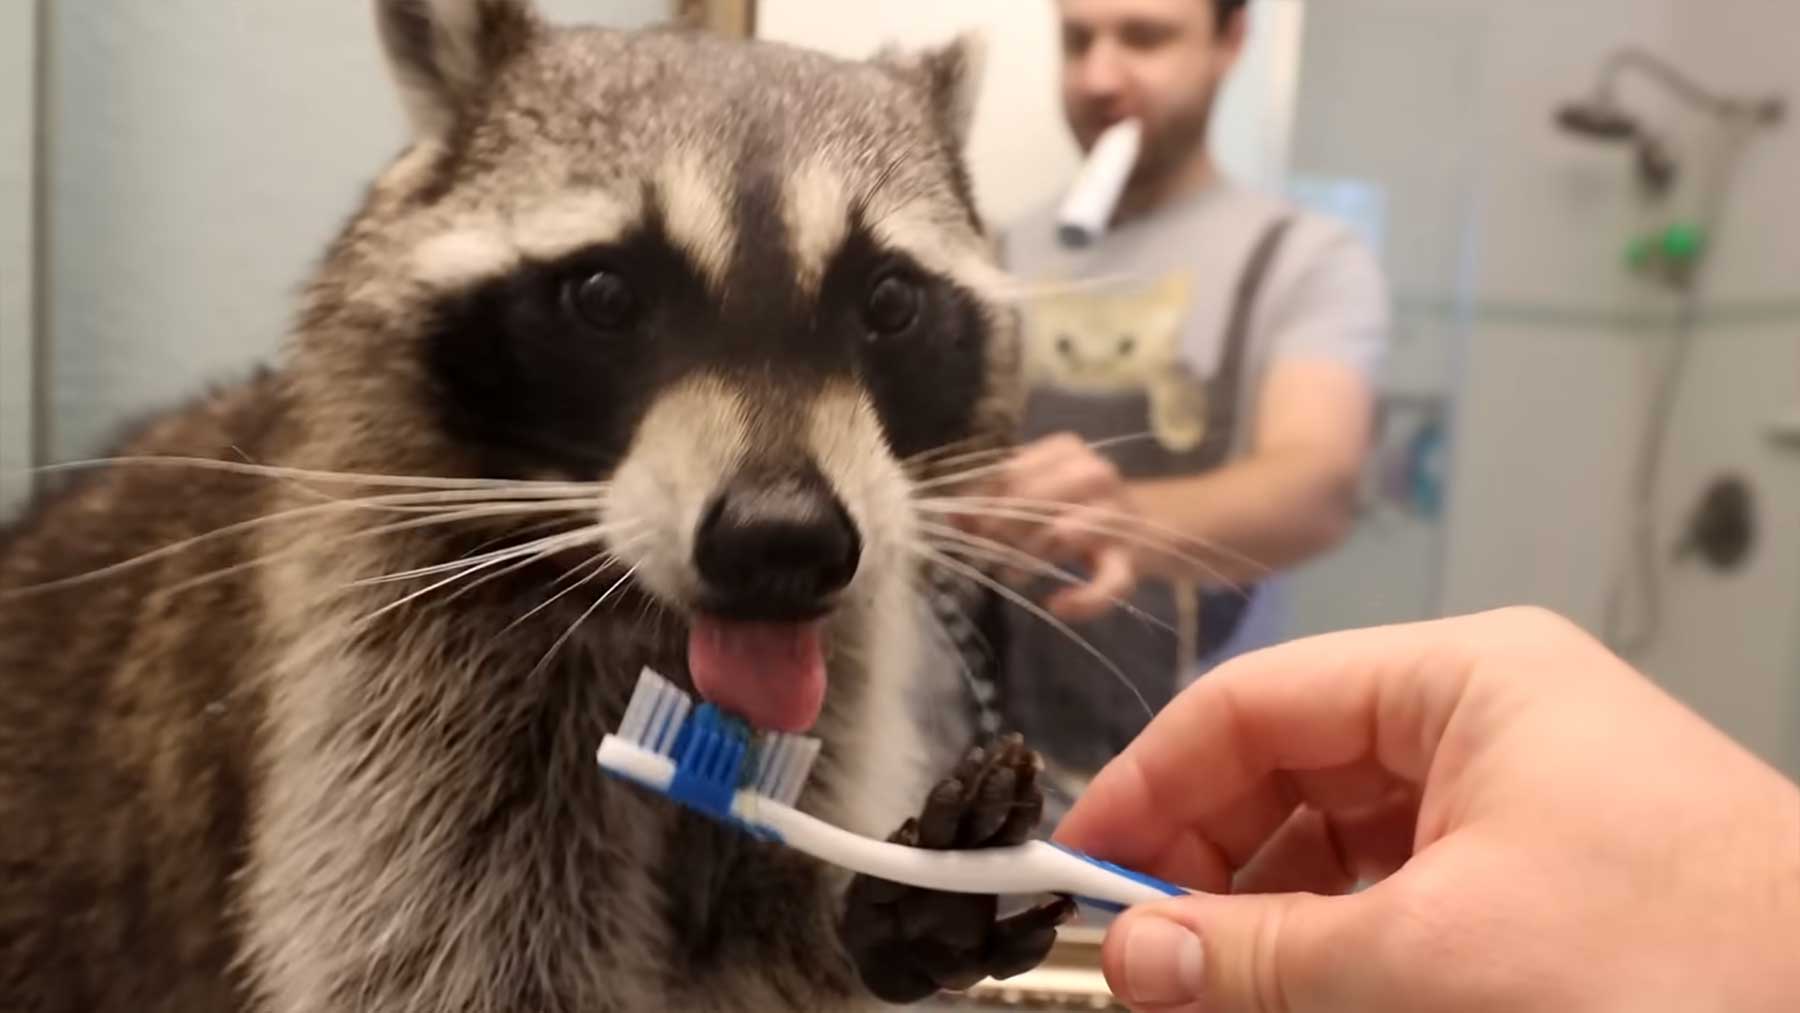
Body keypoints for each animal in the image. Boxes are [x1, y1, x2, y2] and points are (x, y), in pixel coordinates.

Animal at [0, 1, 1065, 1013]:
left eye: (889, 303)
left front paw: (872, 911)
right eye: (602, 294)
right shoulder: (391, 690)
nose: (783, 542)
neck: (656, 634)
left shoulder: (829, 700)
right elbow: (437, 961)